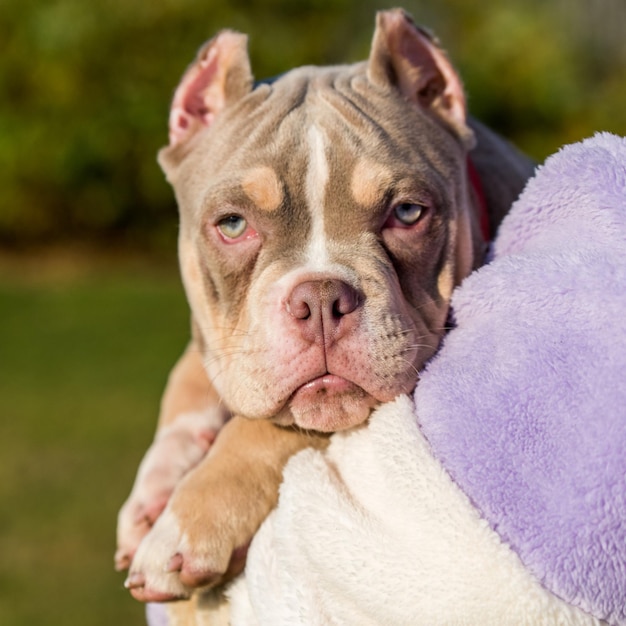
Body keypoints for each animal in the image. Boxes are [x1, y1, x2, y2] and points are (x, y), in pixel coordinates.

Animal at [113, 8, 532, 620]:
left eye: (408, 213)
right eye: (233, 224)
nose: (319, 301)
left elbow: (262, 430)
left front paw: (182, 523)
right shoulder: (225, 343)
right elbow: (190, 380)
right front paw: (155, 488)